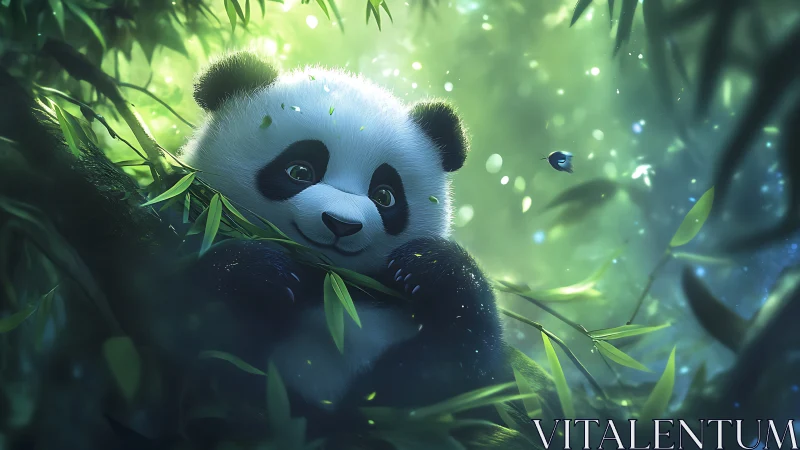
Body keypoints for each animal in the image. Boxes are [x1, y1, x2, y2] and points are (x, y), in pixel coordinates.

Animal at [168, 51, 510, 443]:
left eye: (385, 195)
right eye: (300, 171)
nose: (342, 225)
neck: (329, 284)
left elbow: (464, 380)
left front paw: (429, 266)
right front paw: (259, 273)